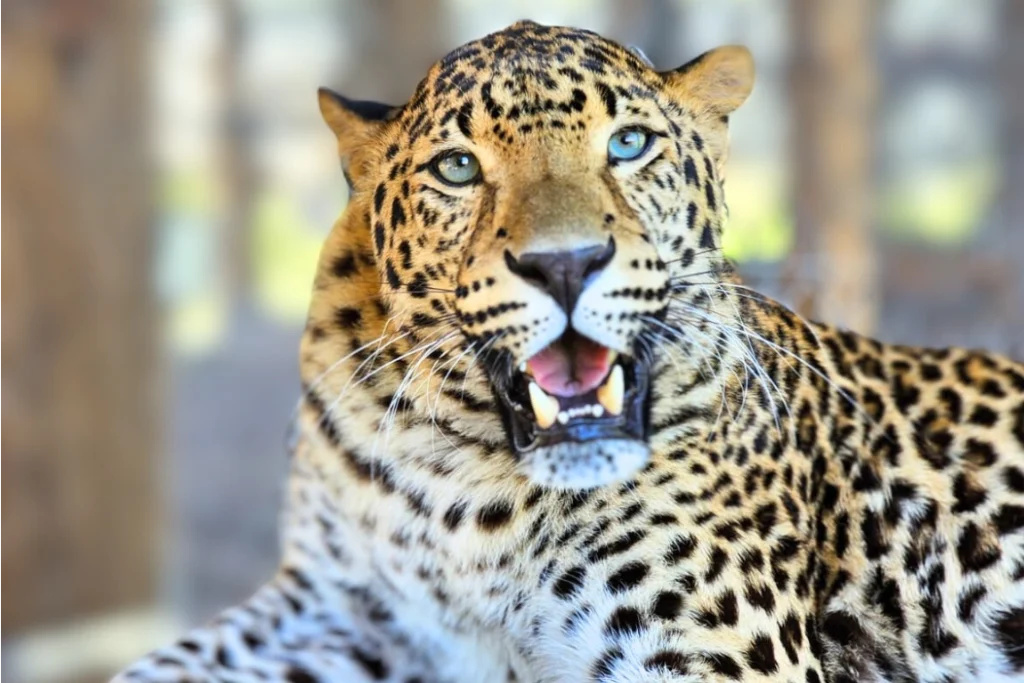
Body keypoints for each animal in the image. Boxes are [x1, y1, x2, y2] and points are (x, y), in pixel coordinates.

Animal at [116, 21, 1024, 683]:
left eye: (627, 145)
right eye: (458, 167)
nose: (565, 263)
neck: (465, 492)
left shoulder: (711, 654)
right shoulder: (340, 608)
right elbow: (168, 662)